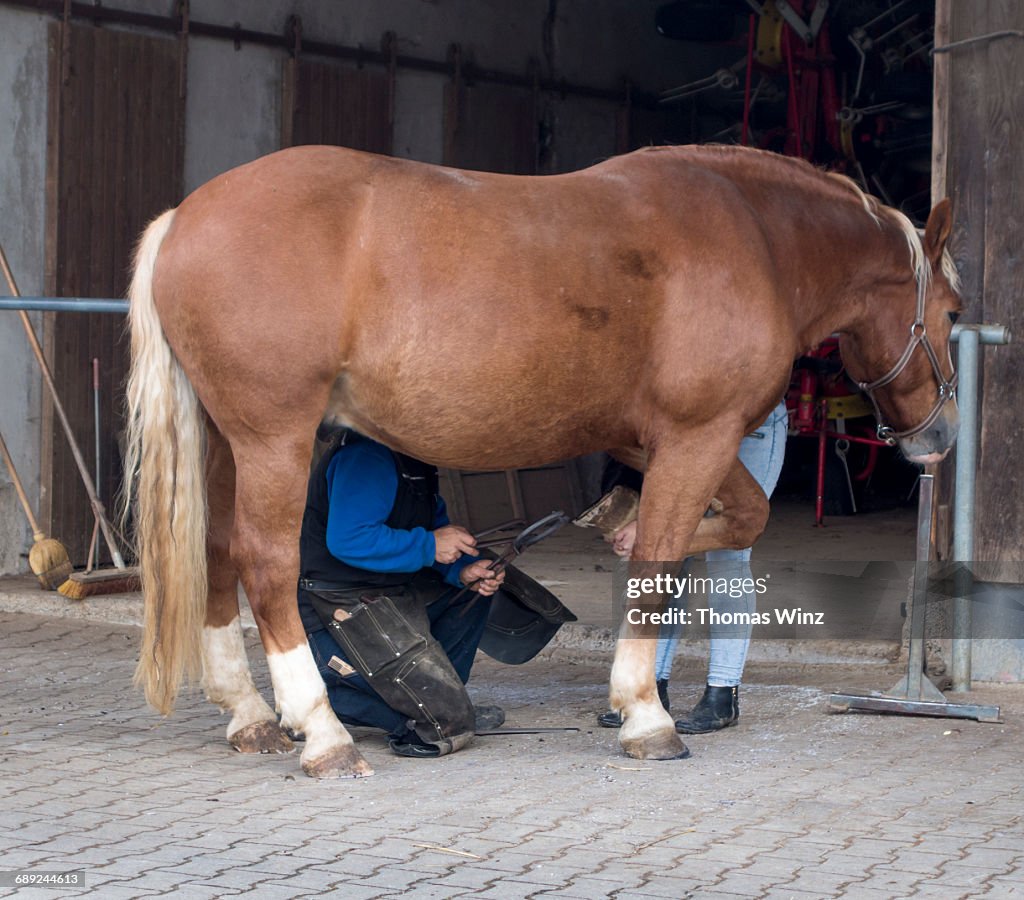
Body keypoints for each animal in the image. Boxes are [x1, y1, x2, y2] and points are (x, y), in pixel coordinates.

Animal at [123, 144, 962, 778]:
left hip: (228, 443)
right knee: (266, 565)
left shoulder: (667, 441)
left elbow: (730, 522)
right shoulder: (698, 435)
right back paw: (323, 733)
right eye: (953, 314)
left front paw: (621, 533)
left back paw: (251, 716)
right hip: (275, 439)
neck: (756, 237)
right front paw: (646, 714)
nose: (941, 437)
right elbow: (660, 562)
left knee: (218, 552)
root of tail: (184, 217)